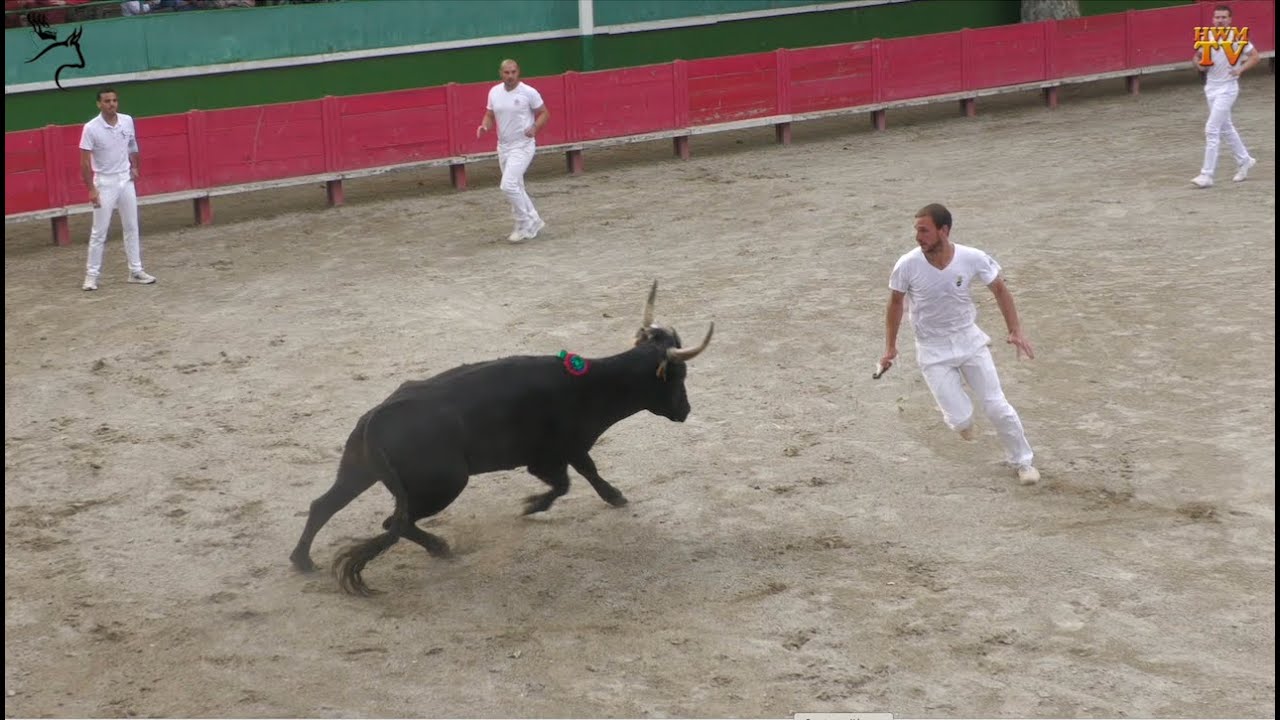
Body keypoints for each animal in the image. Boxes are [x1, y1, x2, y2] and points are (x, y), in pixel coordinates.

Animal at [285, 281, 716, 594]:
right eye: (679, 376)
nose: (685, 411)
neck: (593, 385)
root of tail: (380, 414)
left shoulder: (563, 453)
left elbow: (585, 476)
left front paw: (610, 497)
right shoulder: (556, 454)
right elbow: (569, 482)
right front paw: (534, 506)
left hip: (358, 470)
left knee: (324, 505)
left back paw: (302, 560)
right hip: (444, 484)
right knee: (394, 521)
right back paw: (440, 547)